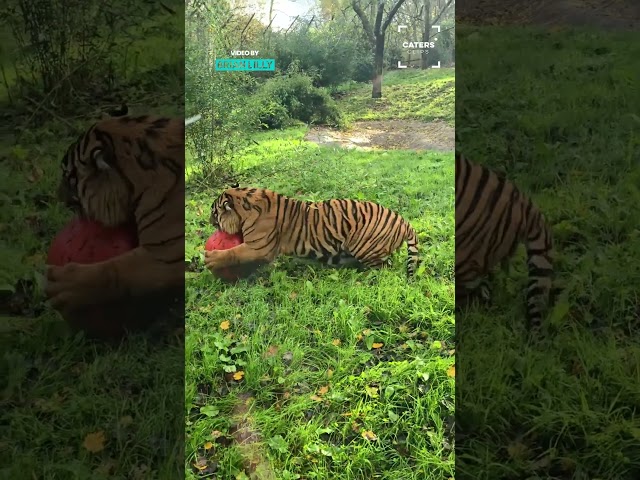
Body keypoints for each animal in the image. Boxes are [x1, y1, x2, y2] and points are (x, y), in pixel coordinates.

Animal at [204, 187, 419, 278]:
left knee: (385, 268)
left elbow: (234, 252)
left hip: (363, 245)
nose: (209, 221)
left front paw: (211, 259)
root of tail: (404, 221)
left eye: (214, 213)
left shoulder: (259, 247)